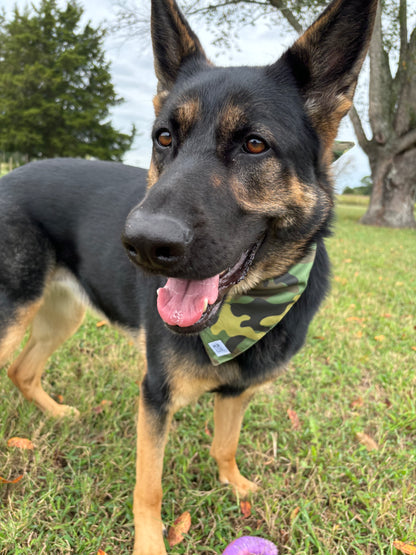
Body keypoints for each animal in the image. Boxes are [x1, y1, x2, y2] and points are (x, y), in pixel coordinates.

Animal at [0, 2, 376, 552]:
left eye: (255, 145)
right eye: (164, 138)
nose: (142, 245)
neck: (250, 304)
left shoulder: (238, 392)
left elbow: (225, 445)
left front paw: (235, 485)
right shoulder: (155, 394)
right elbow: (149, 487)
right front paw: (150, 543)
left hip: (62, 314)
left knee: (22, 371)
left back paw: (55, 414)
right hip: (14, 313)